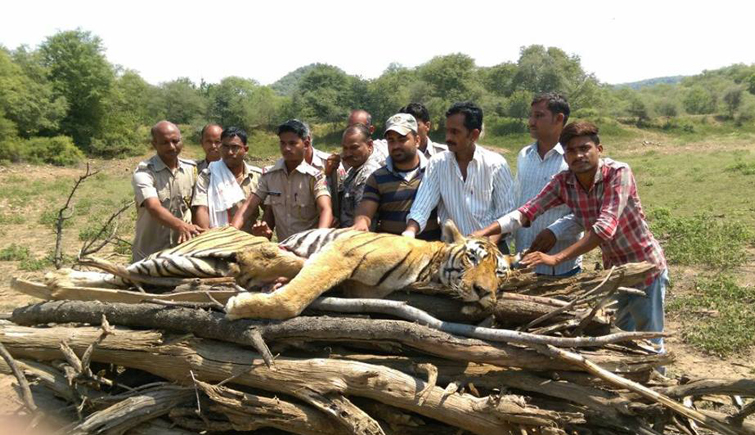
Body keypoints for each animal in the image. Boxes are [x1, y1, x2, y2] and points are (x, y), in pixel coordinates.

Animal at [224, 221, 520, 320]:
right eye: (472, 258)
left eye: (499, 274)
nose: (483, 291)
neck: (429, 272)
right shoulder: (344, 252)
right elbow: (296, 296)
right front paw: (238, 307)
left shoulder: (351, 281)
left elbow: (304, 277)